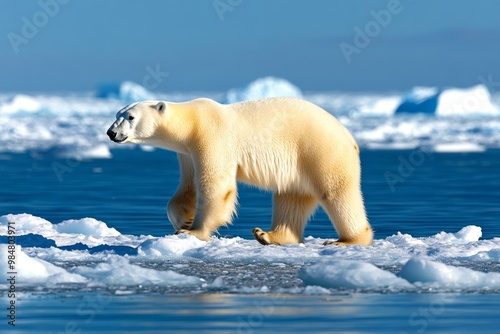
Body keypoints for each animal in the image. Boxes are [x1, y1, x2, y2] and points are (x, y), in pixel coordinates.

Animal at [106, 96, 372, 245]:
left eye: (130, 117)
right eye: (117, 114)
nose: (111, 132)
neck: (191, 122)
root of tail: (350, 137)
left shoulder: (211, 137)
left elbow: (215, 185)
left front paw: (193, 231)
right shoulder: (186, 152)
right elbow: (188, 187)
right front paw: (183, 219)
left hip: (320, 151)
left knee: (336, 193)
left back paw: (348, 240)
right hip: (298, 165)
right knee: (291, 197)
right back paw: (267, 235)